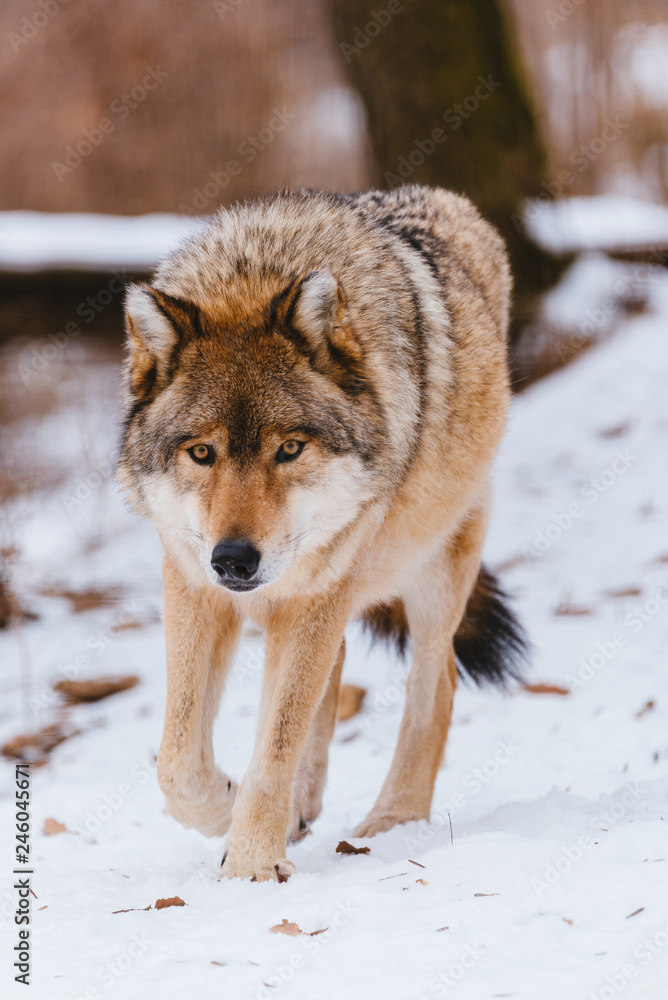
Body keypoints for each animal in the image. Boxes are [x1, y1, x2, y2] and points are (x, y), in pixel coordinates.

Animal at [117, 184, 526, 882]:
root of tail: (453, 201)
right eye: (202, 453)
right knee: (332, 679)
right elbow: (178, 760)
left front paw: (250, 867)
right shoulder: (195, 585)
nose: (234, 560)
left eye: (289, 449)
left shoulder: (317, 592)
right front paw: (229, 815)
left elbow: (274, 747)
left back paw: (394, 819)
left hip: (432, 569)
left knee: (435, 682)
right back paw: (300, 812)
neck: (261, 266)